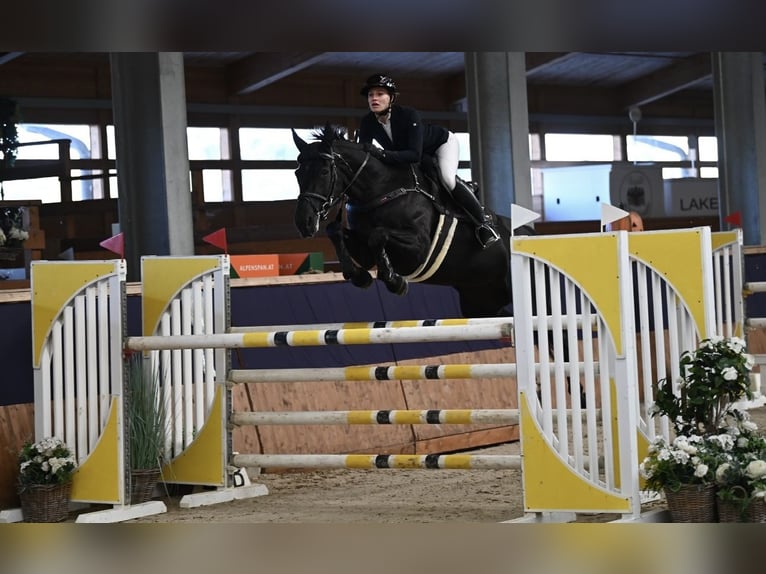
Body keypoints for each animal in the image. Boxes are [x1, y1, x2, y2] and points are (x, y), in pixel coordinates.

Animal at [292, 124, 520, 320]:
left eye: (324, 172)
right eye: (297, 173)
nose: (304, 223)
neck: (381, 188)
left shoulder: (419, 248)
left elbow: (378, 235)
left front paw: (394, 281)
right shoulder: (363, 250)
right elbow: (335, 230)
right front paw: (360, 277)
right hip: (480, 303)